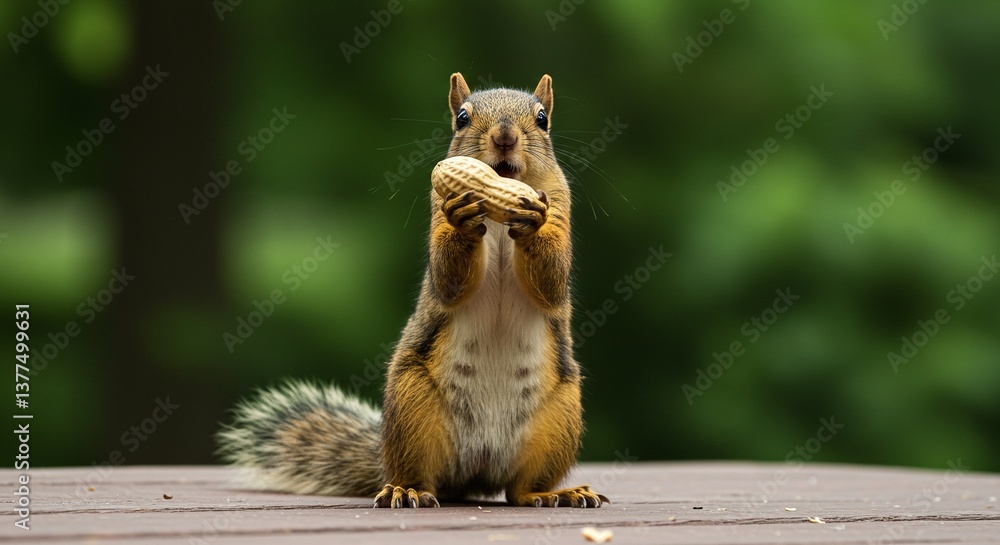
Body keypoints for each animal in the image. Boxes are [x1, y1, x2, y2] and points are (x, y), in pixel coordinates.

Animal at [218, 73, 607, 509]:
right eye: (461, 117)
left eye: (542, 119)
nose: (505, 136)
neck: (498, 212)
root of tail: (478, 471)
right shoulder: (438, 205)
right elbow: (448, 281)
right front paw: (462, 220)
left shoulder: (559, 203)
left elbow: (551, 284)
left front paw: (531, 222)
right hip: (412, 408)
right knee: (422, 475)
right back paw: (406, 490)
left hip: (559, 420)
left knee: (519, 489)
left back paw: (556, 492)